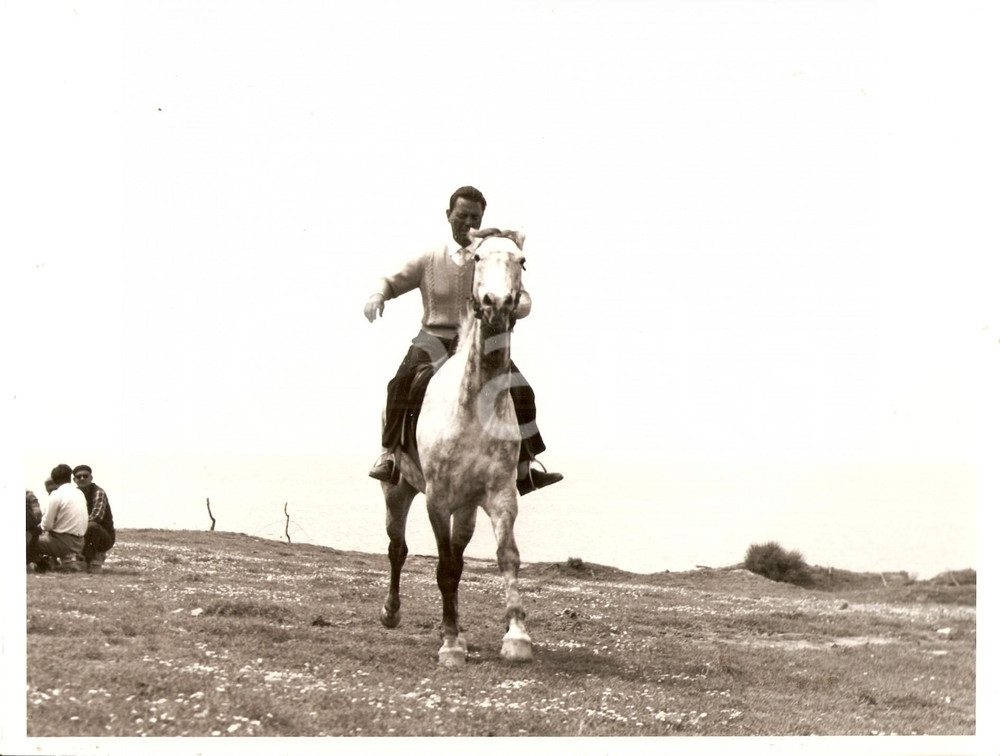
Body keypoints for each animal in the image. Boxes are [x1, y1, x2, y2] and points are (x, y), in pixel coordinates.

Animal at [378, 229, 533, 667]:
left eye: (521, 261)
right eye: (478, 258)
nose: (497, 305)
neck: (474, 405)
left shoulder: (500, 496)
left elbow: (506, 556)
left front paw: (516, 636)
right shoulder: (438, 498)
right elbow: (444, 566)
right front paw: (449, 643)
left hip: (466, 509)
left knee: (459, 558)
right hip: (398, 490)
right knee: (397, 547)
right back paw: (392, 612)